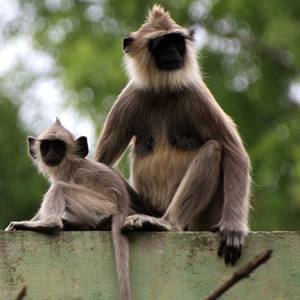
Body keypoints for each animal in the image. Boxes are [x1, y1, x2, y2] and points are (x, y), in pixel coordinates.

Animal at [5, 118, 141, 300]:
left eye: (59, 147)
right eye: (46, 146)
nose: (51, 154)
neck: (69, 162)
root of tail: (121, 207)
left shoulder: (66, 174)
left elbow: (57, 189)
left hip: (101, 206)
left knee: (60, 189)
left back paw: (51, 224)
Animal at [94, 3, 251, 264]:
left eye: (177, 43)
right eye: (161, 44)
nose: (172, 52)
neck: (163, 90)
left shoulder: (196, 95)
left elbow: (234, 152)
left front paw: (233, 228)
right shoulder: (128, 99)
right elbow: (99, 163)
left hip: (198, 220)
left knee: (214, 149)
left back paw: (166, 224)